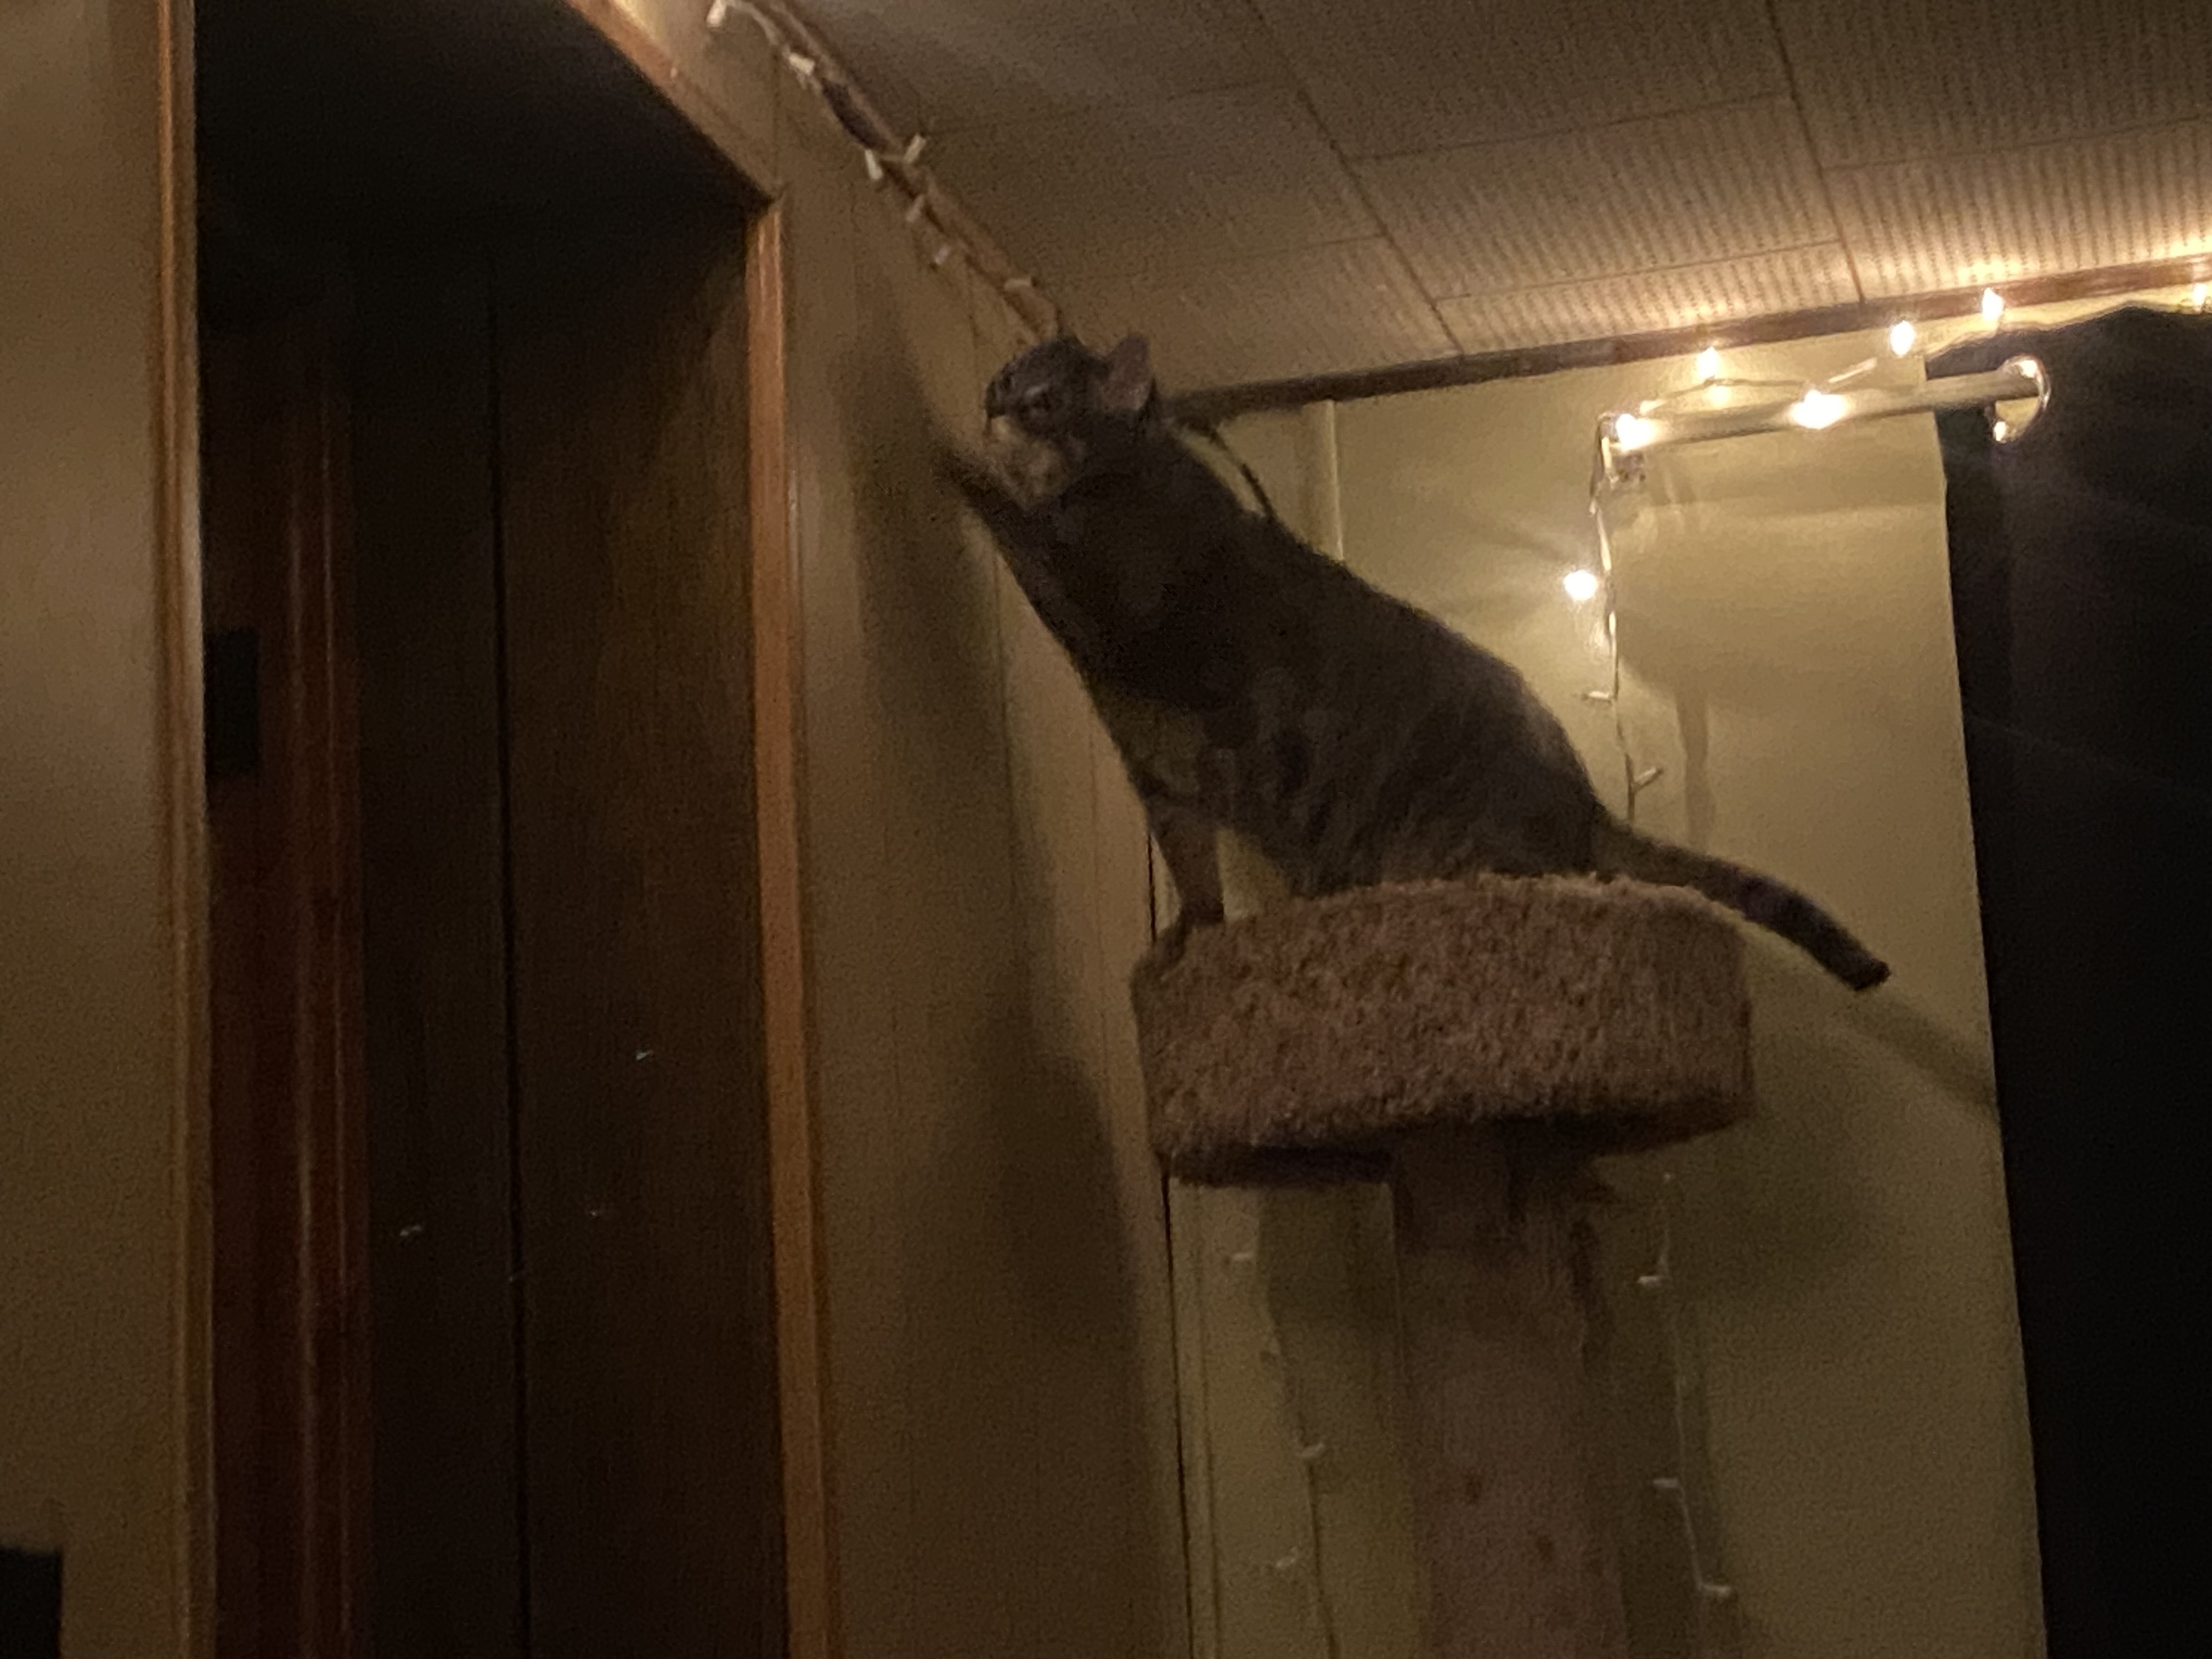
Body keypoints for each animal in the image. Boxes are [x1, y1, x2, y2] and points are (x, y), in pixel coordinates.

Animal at [944, 332, 1889, 991]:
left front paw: (950, 454)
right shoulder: (1163, 781)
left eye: (1036, 398)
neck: (1130, 475)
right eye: (1002, 380)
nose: (985, 400)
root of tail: (1586, 802)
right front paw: (1181, 943)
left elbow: (1019, 530)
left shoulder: (1105, 608)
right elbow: (1194, 879)